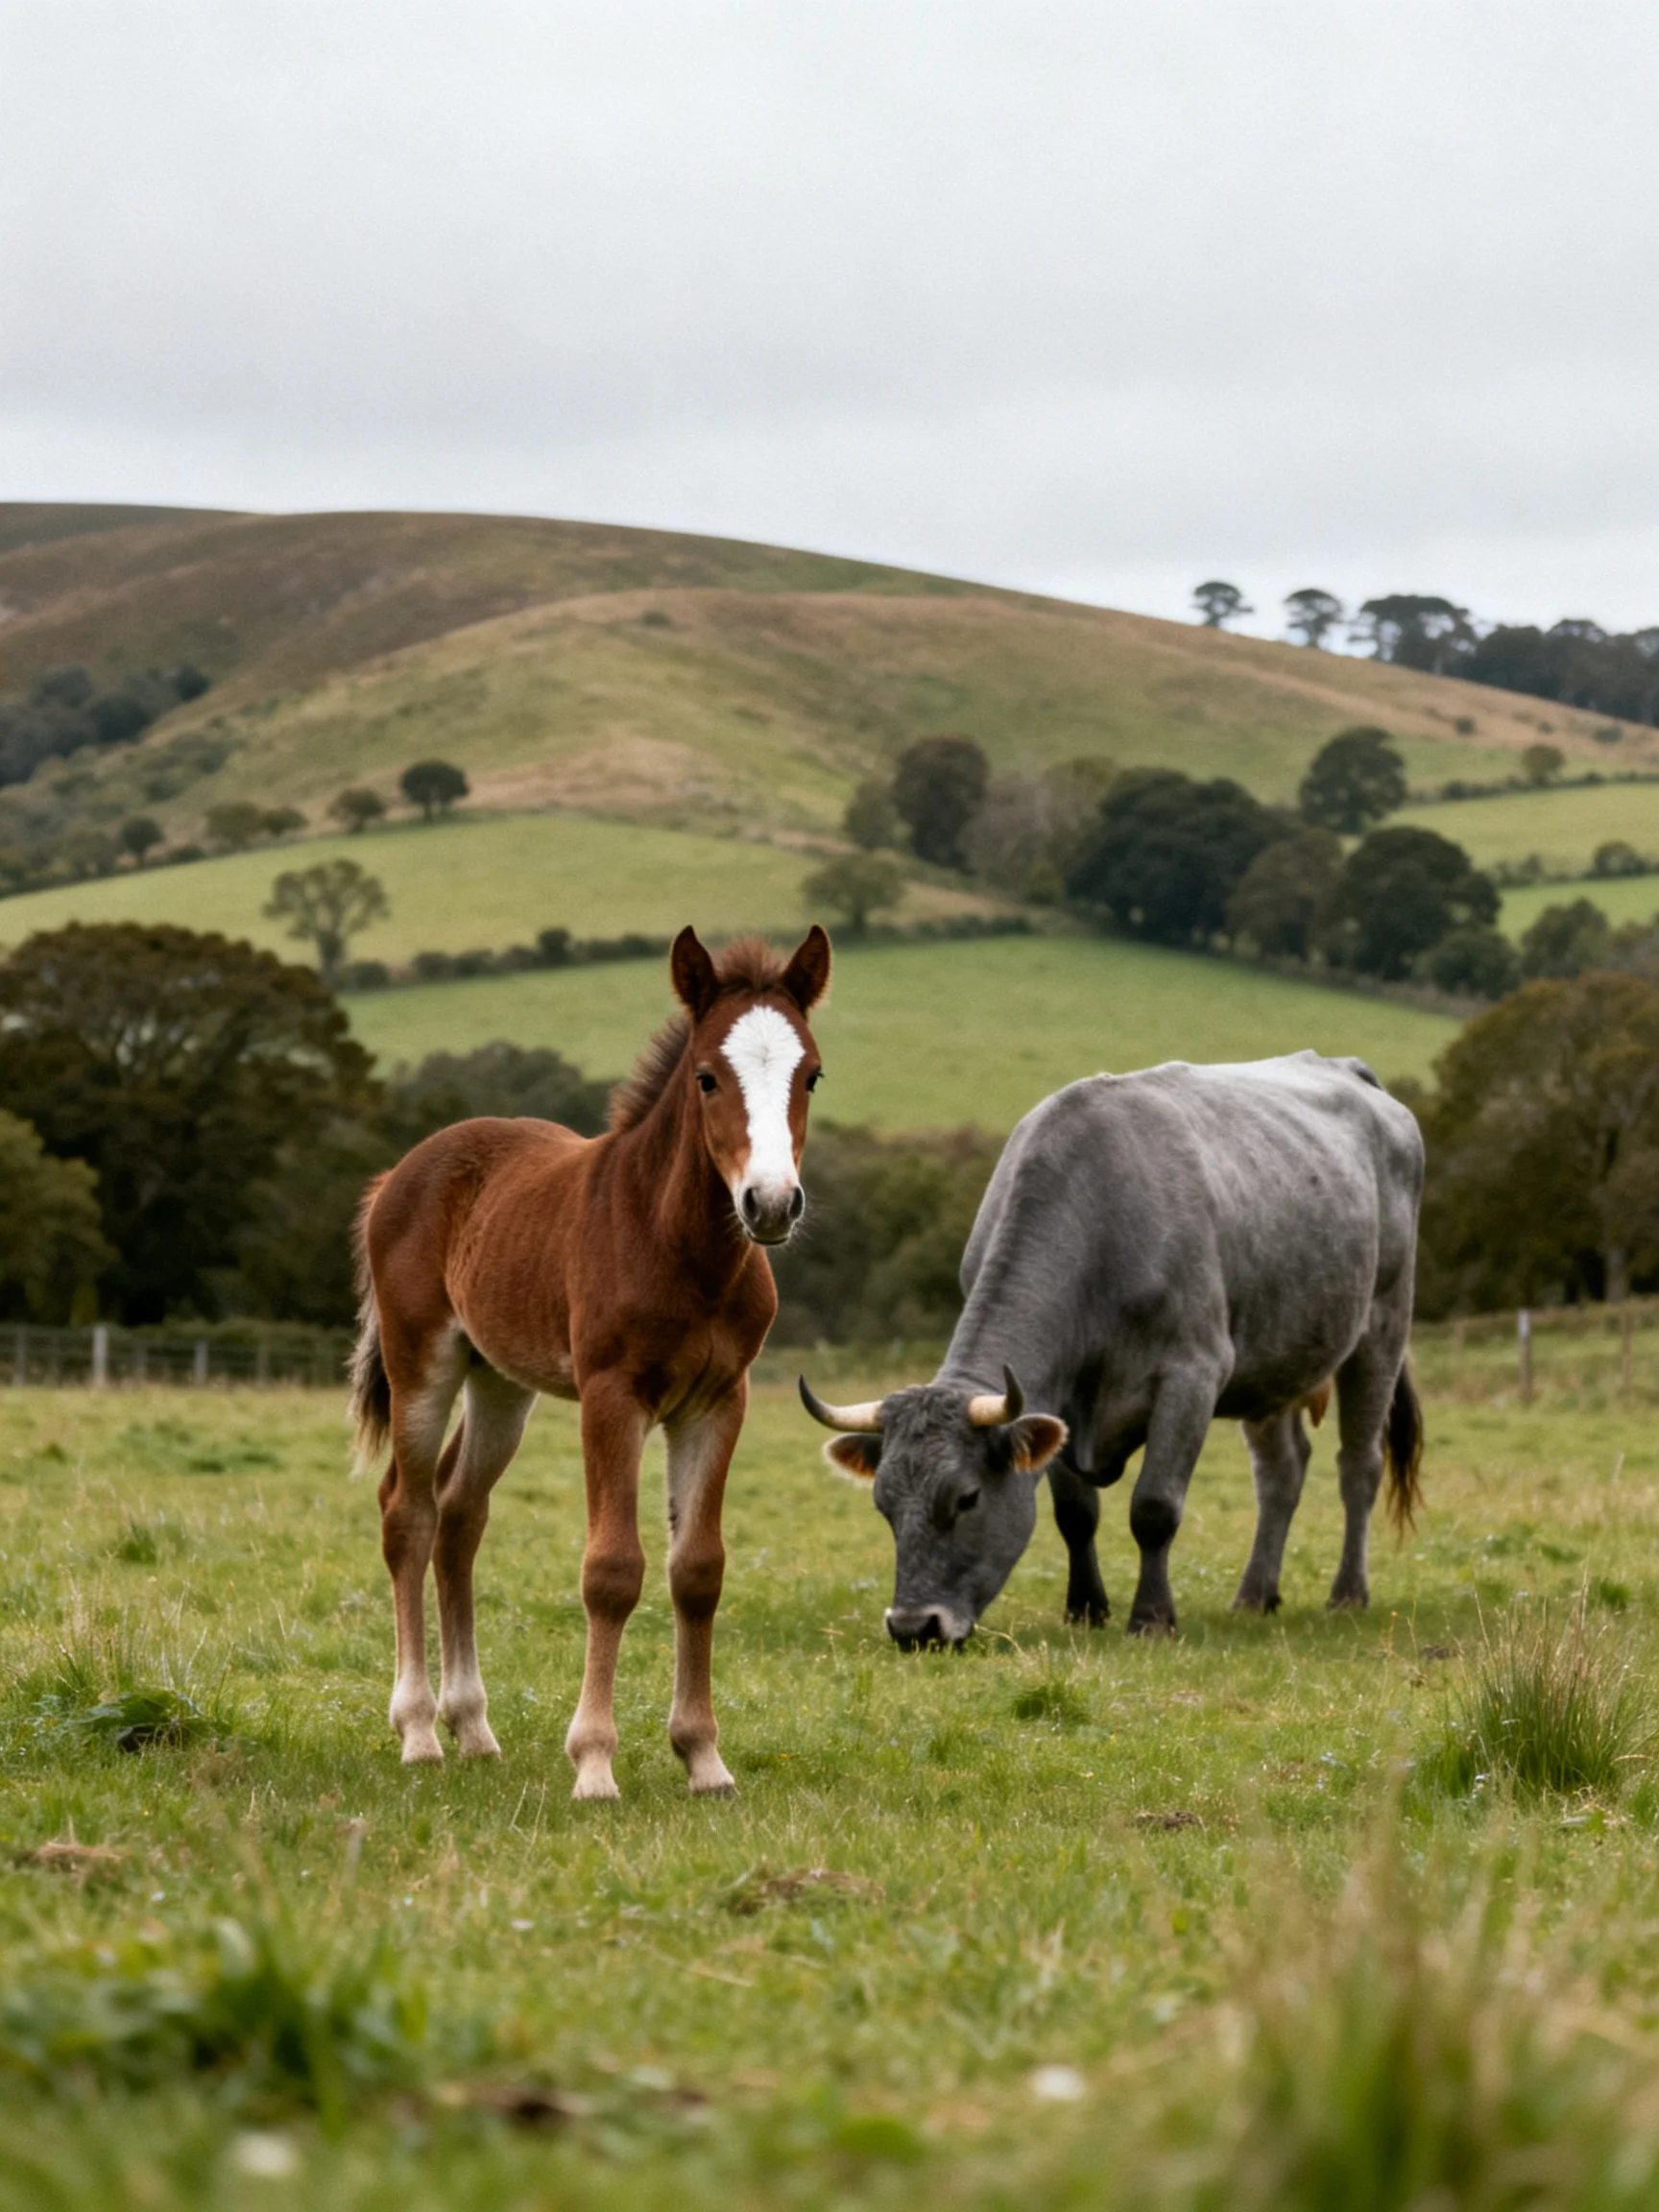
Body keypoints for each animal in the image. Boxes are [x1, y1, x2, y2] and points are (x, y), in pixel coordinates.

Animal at [349, 924, 831, 1799]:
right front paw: (595, 1763)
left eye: (811, 1073)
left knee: (460, 1513)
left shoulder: (719, 1401)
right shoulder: (614, 1396)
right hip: (421, 1362)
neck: (681, 1248)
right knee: (408, 1511)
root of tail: (399, 1174)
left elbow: (697, 1570)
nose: (772, 1204)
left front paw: (703, 1758)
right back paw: (419, 1731)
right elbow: (612, 1570)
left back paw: (474, 1728)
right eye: (707, 1077)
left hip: (501, 1384)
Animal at [799, 1051, 1424, 1645]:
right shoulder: (1057, 1395)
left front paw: (1151, 1617)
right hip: (1275, 1362)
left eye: (967, 1497)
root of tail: (1347, 1069)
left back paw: (1348, 1593)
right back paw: (1254, 1595)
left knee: (1358, 1464)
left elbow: (1154, 1507)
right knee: (1280, 1474)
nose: (913, 1626)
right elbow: (1075, 1513)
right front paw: (1086, 1608)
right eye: (884, 1505)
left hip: (1381, 1328)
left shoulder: (1191, 1376)